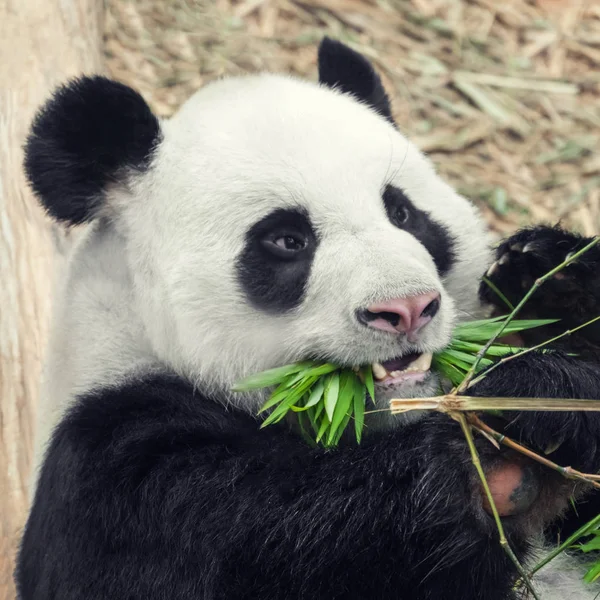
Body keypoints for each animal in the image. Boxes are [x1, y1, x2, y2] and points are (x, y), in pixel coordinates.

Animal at [16, 37, 600, 600]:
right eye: (286, 240)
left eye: (402, 212)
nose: (408, 308)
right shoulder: (118, 470)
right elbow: (290, 535)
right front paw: (493, 460)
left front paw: (545, 295)